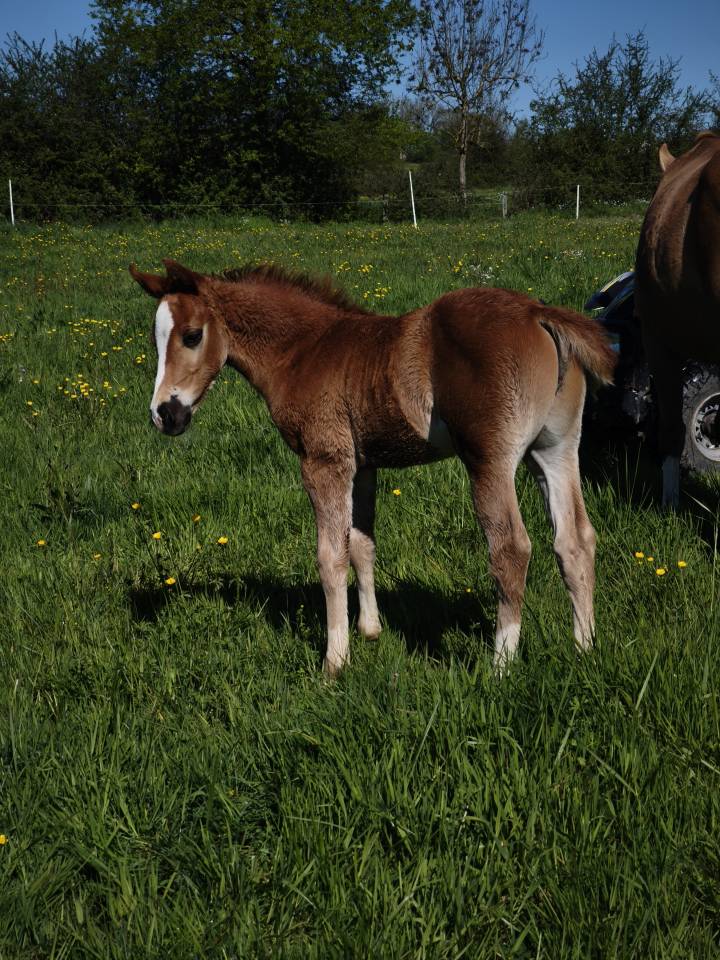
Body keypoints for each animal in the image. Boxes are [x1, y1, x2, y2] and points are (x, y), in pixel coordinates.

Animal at [130, 259, 615, 675]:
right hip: (554, 452)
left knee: (511, 549)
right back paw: (585, 648)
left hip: (489, 461)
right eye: (155, 341)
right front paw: (369, 630)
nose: (163, 415)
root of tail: (537, 312)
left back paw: (501, 667)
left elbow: (330, 558)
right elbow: (362, 544)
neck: (303, 351)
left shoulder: (324, 461)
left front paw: (335, 660)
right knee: (575, 541)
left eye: (192, 336)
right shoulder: (362, 465)